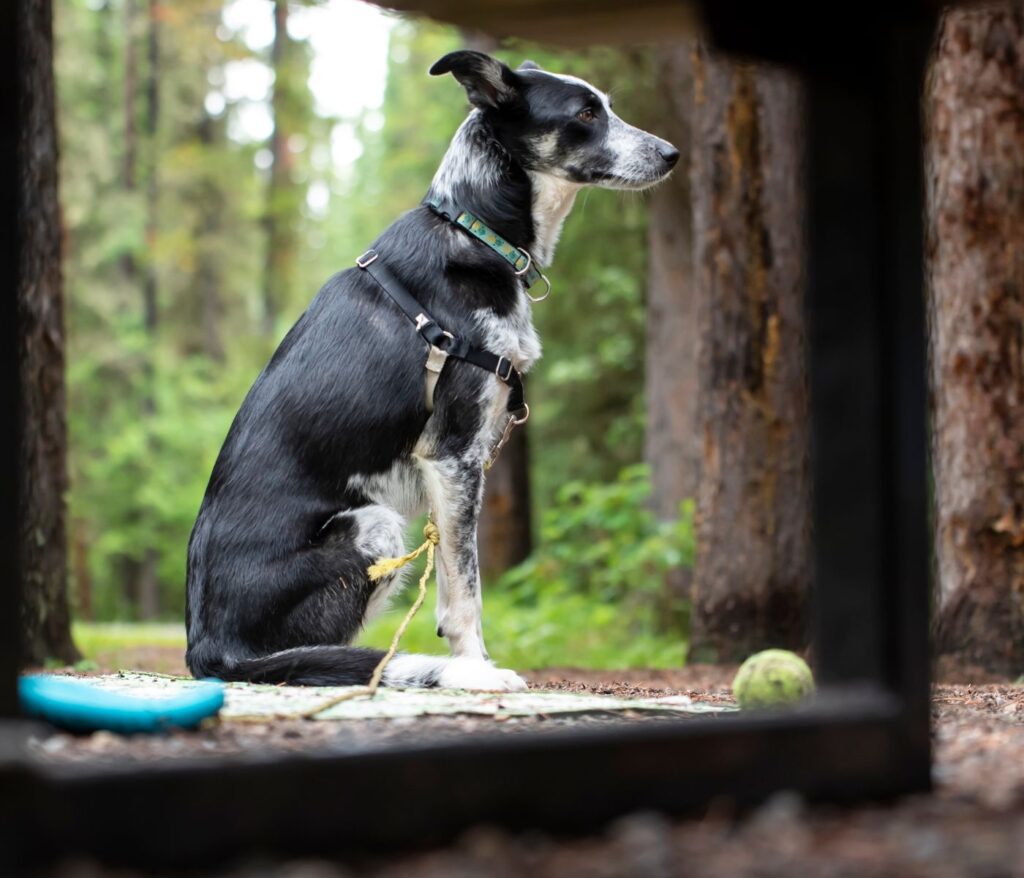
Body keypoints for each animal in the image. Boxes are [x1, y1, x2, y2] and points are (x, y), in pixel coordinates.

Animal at [186, 51, 679, 688]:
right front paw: (477, 670)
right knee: (303, 657)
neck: (476, 230)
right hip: (375, 524)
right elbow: (466, 589)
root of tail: (208, 649)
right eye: (586, 113)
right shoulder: (453, 455)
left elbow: (453, 583)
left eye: (609, 106)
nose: (672, 153)